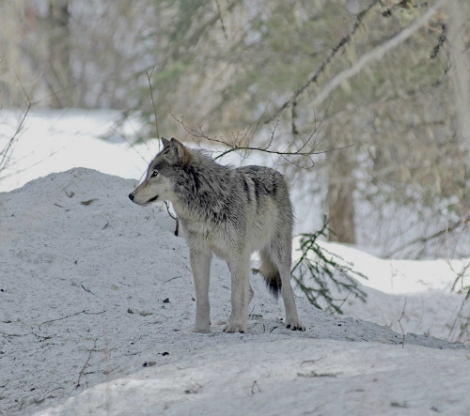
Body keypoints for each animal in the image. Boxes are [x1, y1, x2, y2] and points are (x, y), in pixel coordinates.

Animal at [129, 138, 304, 334]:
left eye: (155, 174)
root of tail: (275, 172)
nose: (130, 195)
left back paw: (293, 322)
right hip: (232, 258)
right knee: (249, 291)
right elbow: (202, 298)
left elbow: (236, 295)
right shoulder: (199, 253)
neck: (203, 204)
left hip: (275, 252)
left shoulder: (238, 252)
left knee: (286, 289)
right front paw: (202, 328)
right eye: (149, 173)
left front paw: (237, 326)